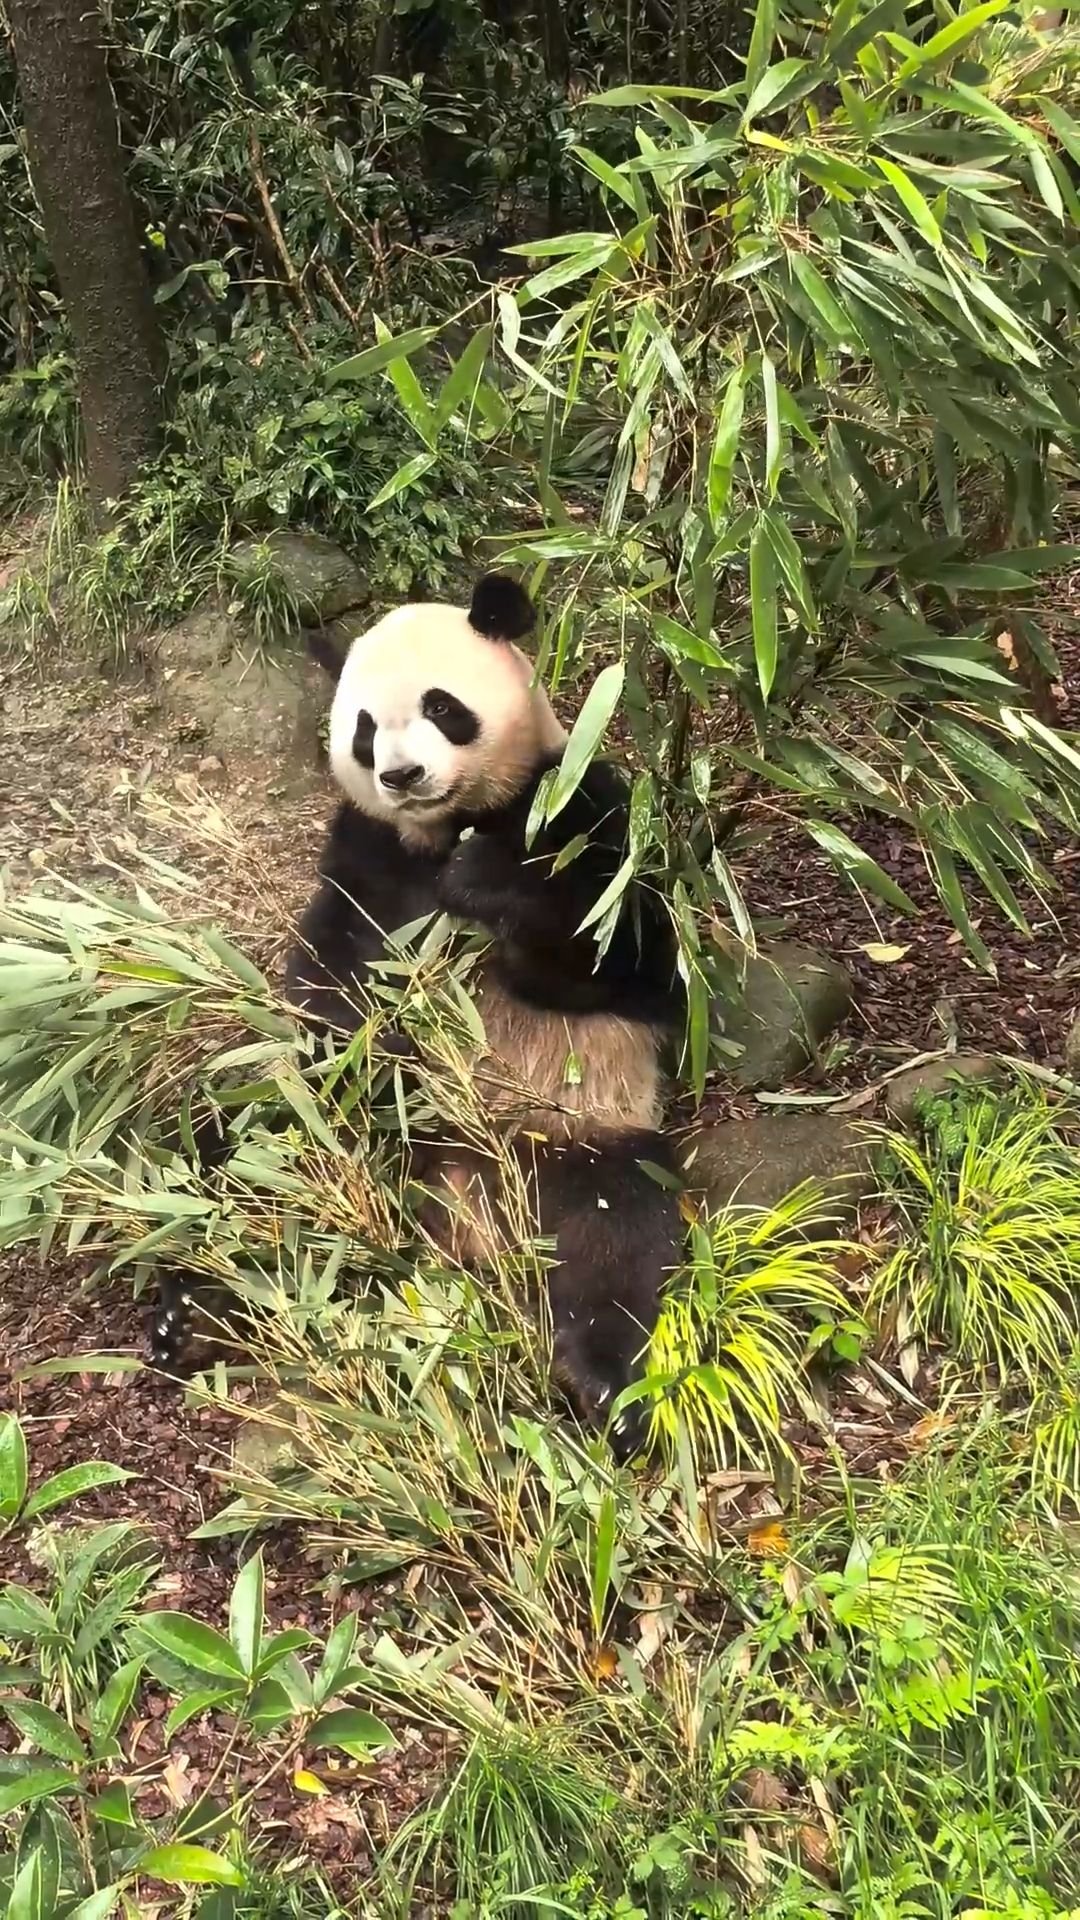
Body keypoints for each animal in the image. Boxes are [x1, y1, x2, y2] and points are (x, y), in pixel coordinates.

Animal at [156, 574, 686, 1459]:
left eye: (442, 707)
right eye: (366, 731)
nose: (403, 775)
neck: (443, 828)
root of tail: (458, 1214)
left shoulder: (582, 801)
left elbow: (620, 955)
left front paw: (487, 882)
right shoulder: (365, 851)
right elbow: (331, 975)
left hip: (582, 1139)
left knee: (614, 1246)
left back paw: (605, 1387)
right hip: (315, 1137)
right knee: (245, 1160)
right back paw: (192, 1310)